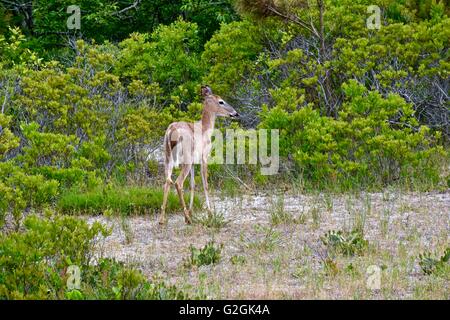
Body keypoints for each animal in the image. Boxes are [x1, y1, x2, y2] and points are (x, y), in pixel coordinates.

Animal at [160, 85, 241, 225]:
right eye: (221, 101)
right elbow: (205, 184)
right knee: (178, 183)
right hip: (185, 160)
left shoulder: (194, 162)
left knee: (167, 181)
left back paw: (162, 219)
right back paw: (186, 218)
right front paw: (210, 214)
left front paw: (192, 212)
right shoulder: (204, 157)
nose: (235, 113)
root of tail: (171, 131)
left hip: (168, 157)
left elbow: (193, 185)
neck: (205, 128)